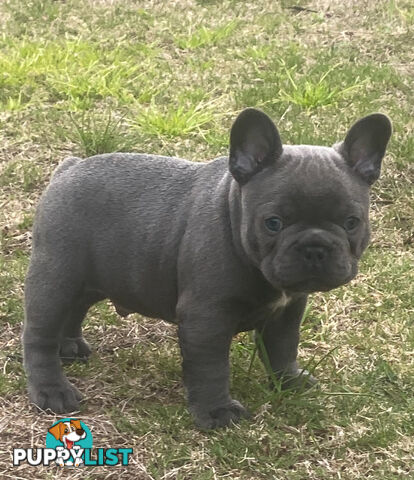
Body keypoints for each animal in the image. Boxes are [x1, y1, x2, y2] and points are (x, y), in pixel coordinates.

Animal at [22, 108, 392, 428]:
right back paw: (52, 391)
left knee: (75, 309)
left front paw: (289, 382)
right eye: (273, 223)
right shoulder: (206, 320)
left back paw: (69, 347)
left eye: (352, 222)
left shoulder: (287, 312)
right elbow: (212, 369)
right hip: (55, 278)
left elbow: (283, 348)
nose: (315, 246)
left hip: (91, 278)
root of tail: (69, 169)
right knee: (39, 335)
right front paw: (217, 413)